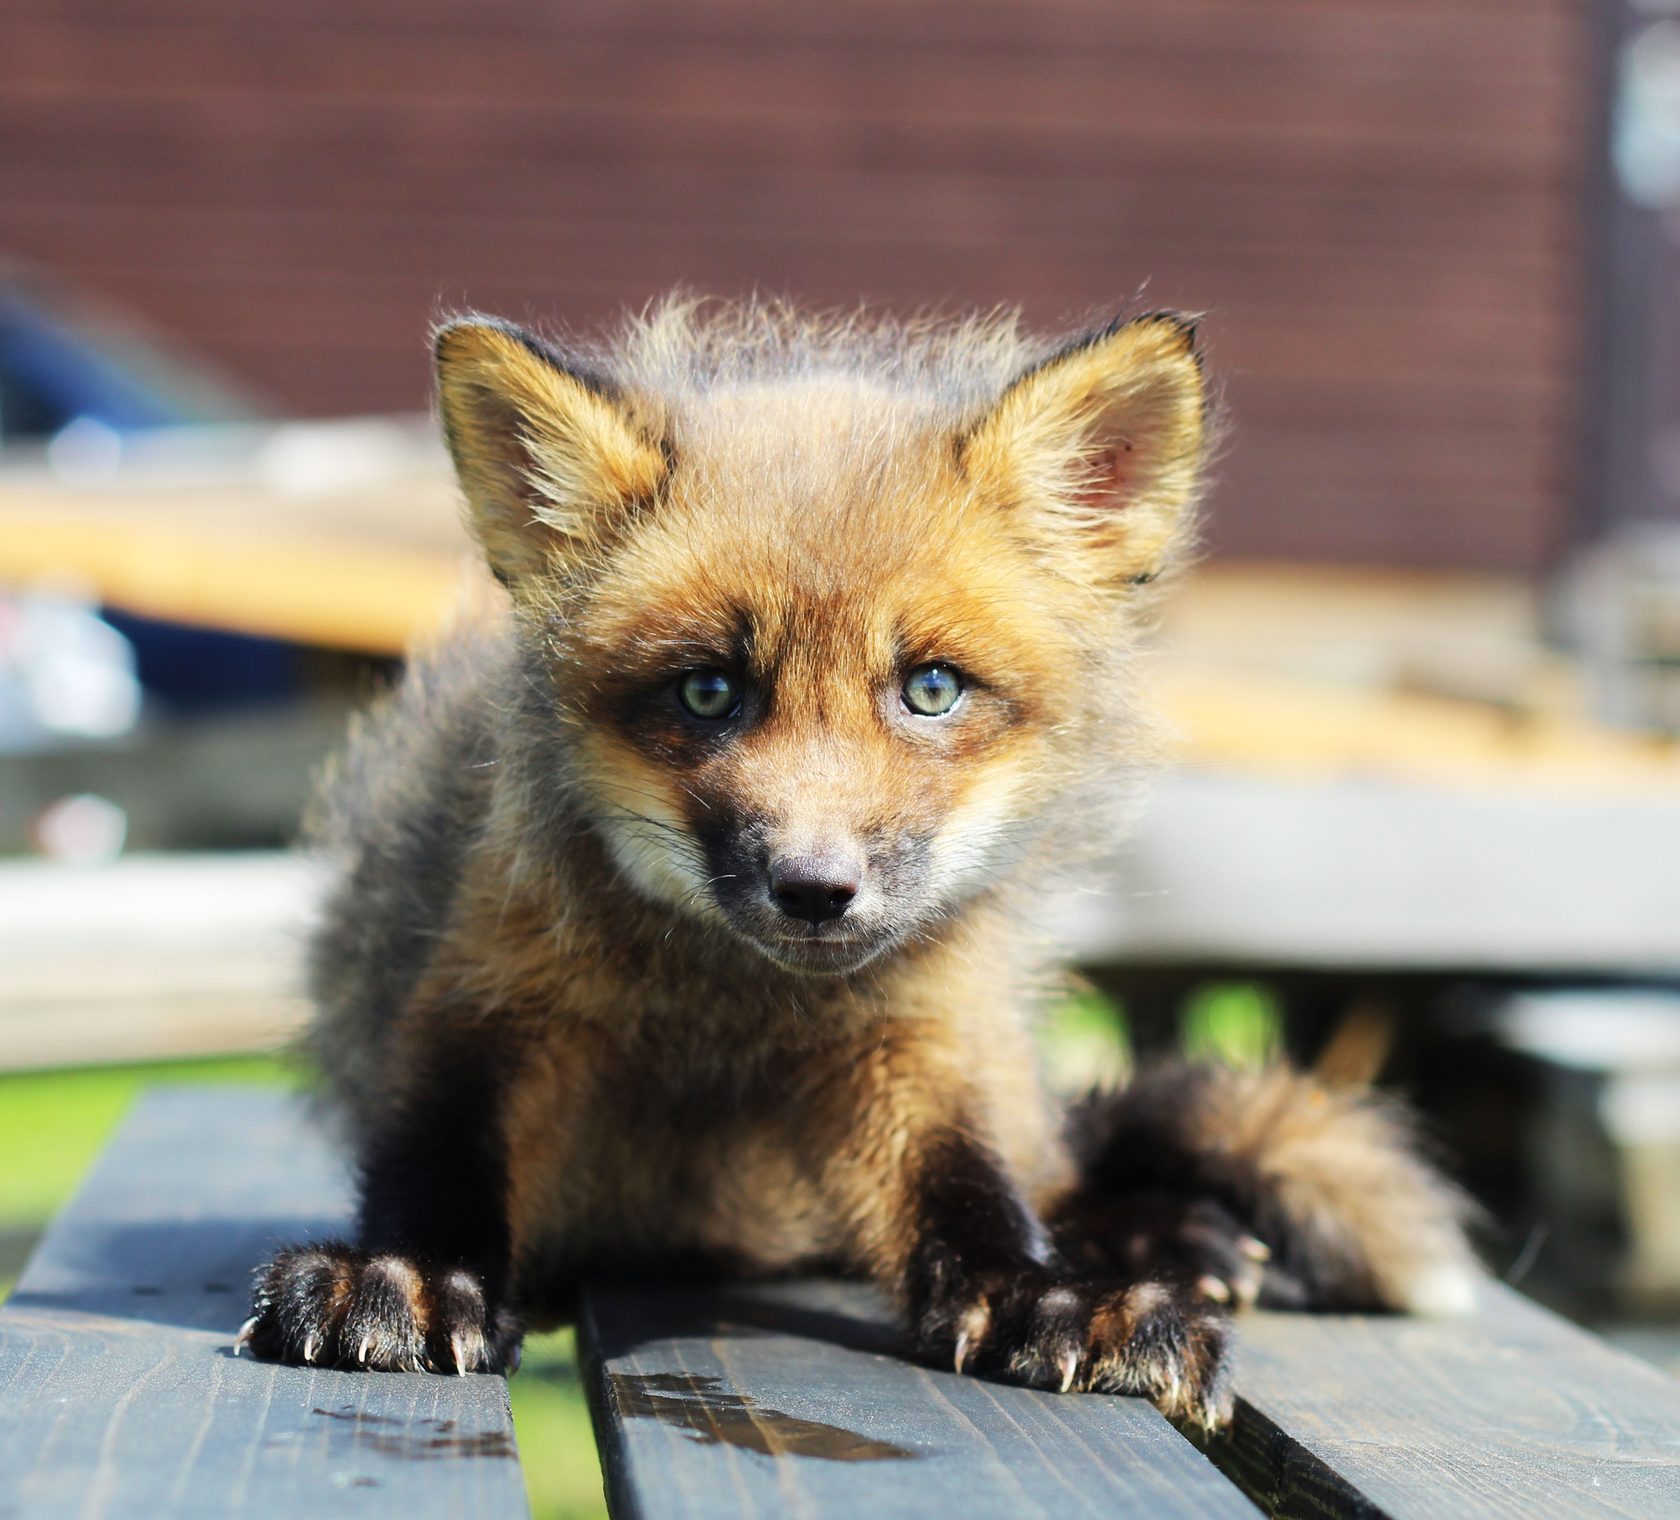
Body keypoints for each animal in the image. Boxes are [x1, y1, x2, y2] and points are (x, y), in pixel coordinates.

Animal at [236, 293, 1471, 1424]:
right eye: (707, 691)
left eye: (930, 688)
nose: (815, 888)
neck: (734, 1019)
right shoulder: (490, 995)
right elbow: (440, 1161)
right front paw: (406, 1277)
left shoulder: (918, 1045)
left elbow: (975, 1198)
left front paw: (1052, 1297)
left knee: (1062, 1158)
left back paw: (1168, 1234)